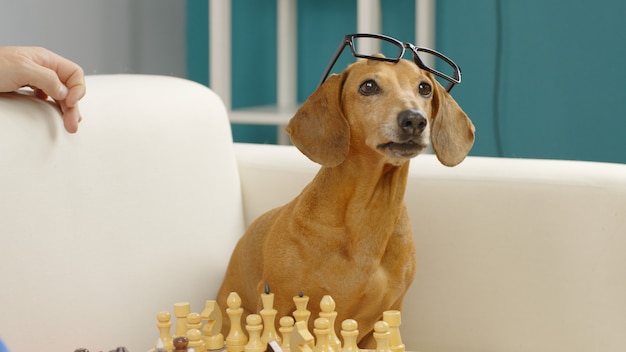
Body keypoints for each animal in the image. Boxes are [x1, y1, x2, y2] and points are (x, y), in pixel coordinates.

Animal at [216, 57, 472, 346]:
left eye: (425, 88)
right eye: (368, 86)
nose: (414, 120)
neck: (367, 216)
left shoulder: (386, 319)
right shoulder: (278, 303)